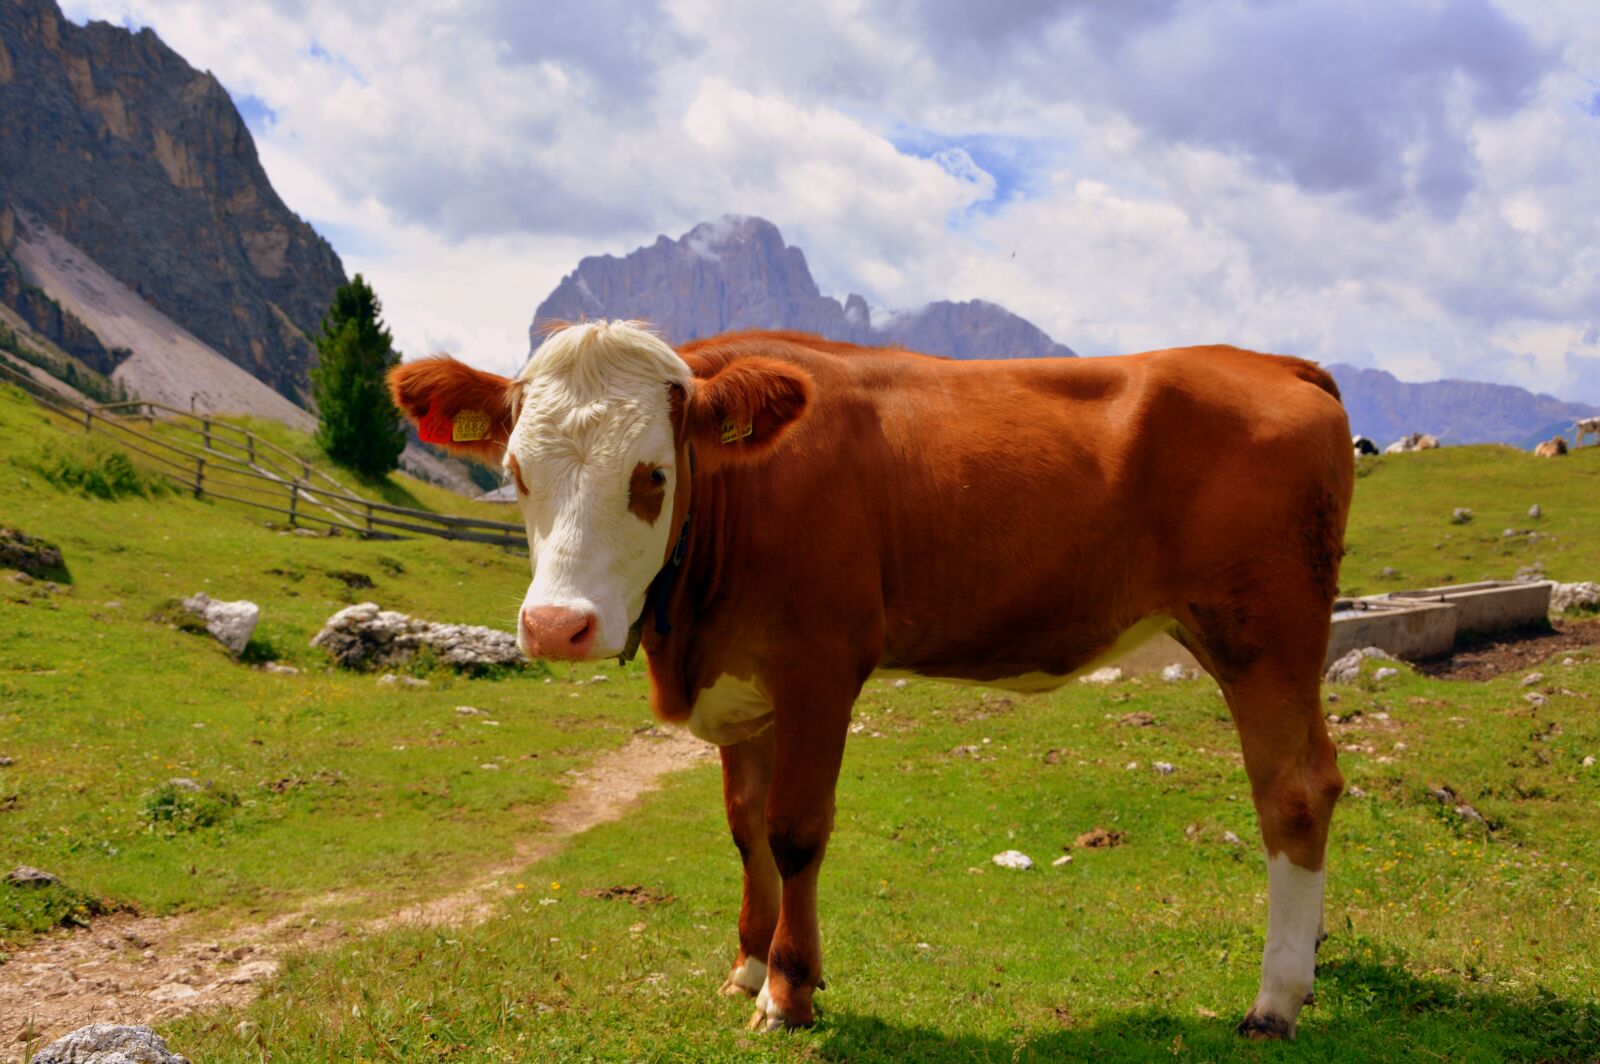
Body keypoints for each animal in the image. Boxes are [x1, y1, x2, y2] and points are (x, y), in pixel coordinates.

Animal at [388, 322, 1355, 1041]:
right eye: (516, 473)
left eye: (651, 475)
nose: (557, 626)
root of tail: (1270, 362)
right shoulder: (745, 684)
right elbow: (744, 828)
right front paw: (745, 965)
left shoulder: (821, 663)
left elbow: (794, 831)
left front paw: (788, 991)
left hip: (1263, 630)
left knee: (1295, 788)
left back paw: (1275, 1000)